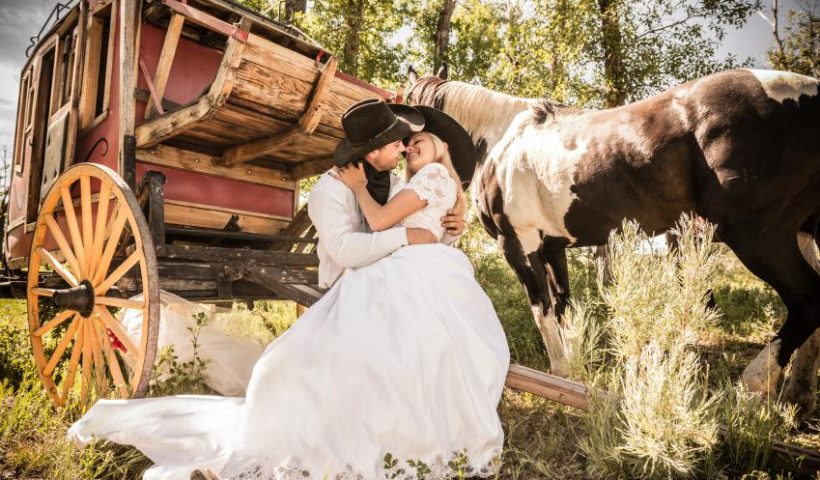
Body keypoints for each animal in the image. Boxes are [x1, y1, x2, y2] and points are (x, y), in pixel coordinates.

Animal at [408, 65, 820, 410]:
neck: (500, 139)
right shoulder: (553, 247)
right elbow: (564, 307)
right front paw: (575, 370)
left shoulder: (518, 245)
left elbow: (542, 309)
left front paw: (560, 370)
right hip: (803, 231)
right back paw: (796, 396)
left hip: (759, 237)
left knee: (806, 303)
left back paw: (752, 384)